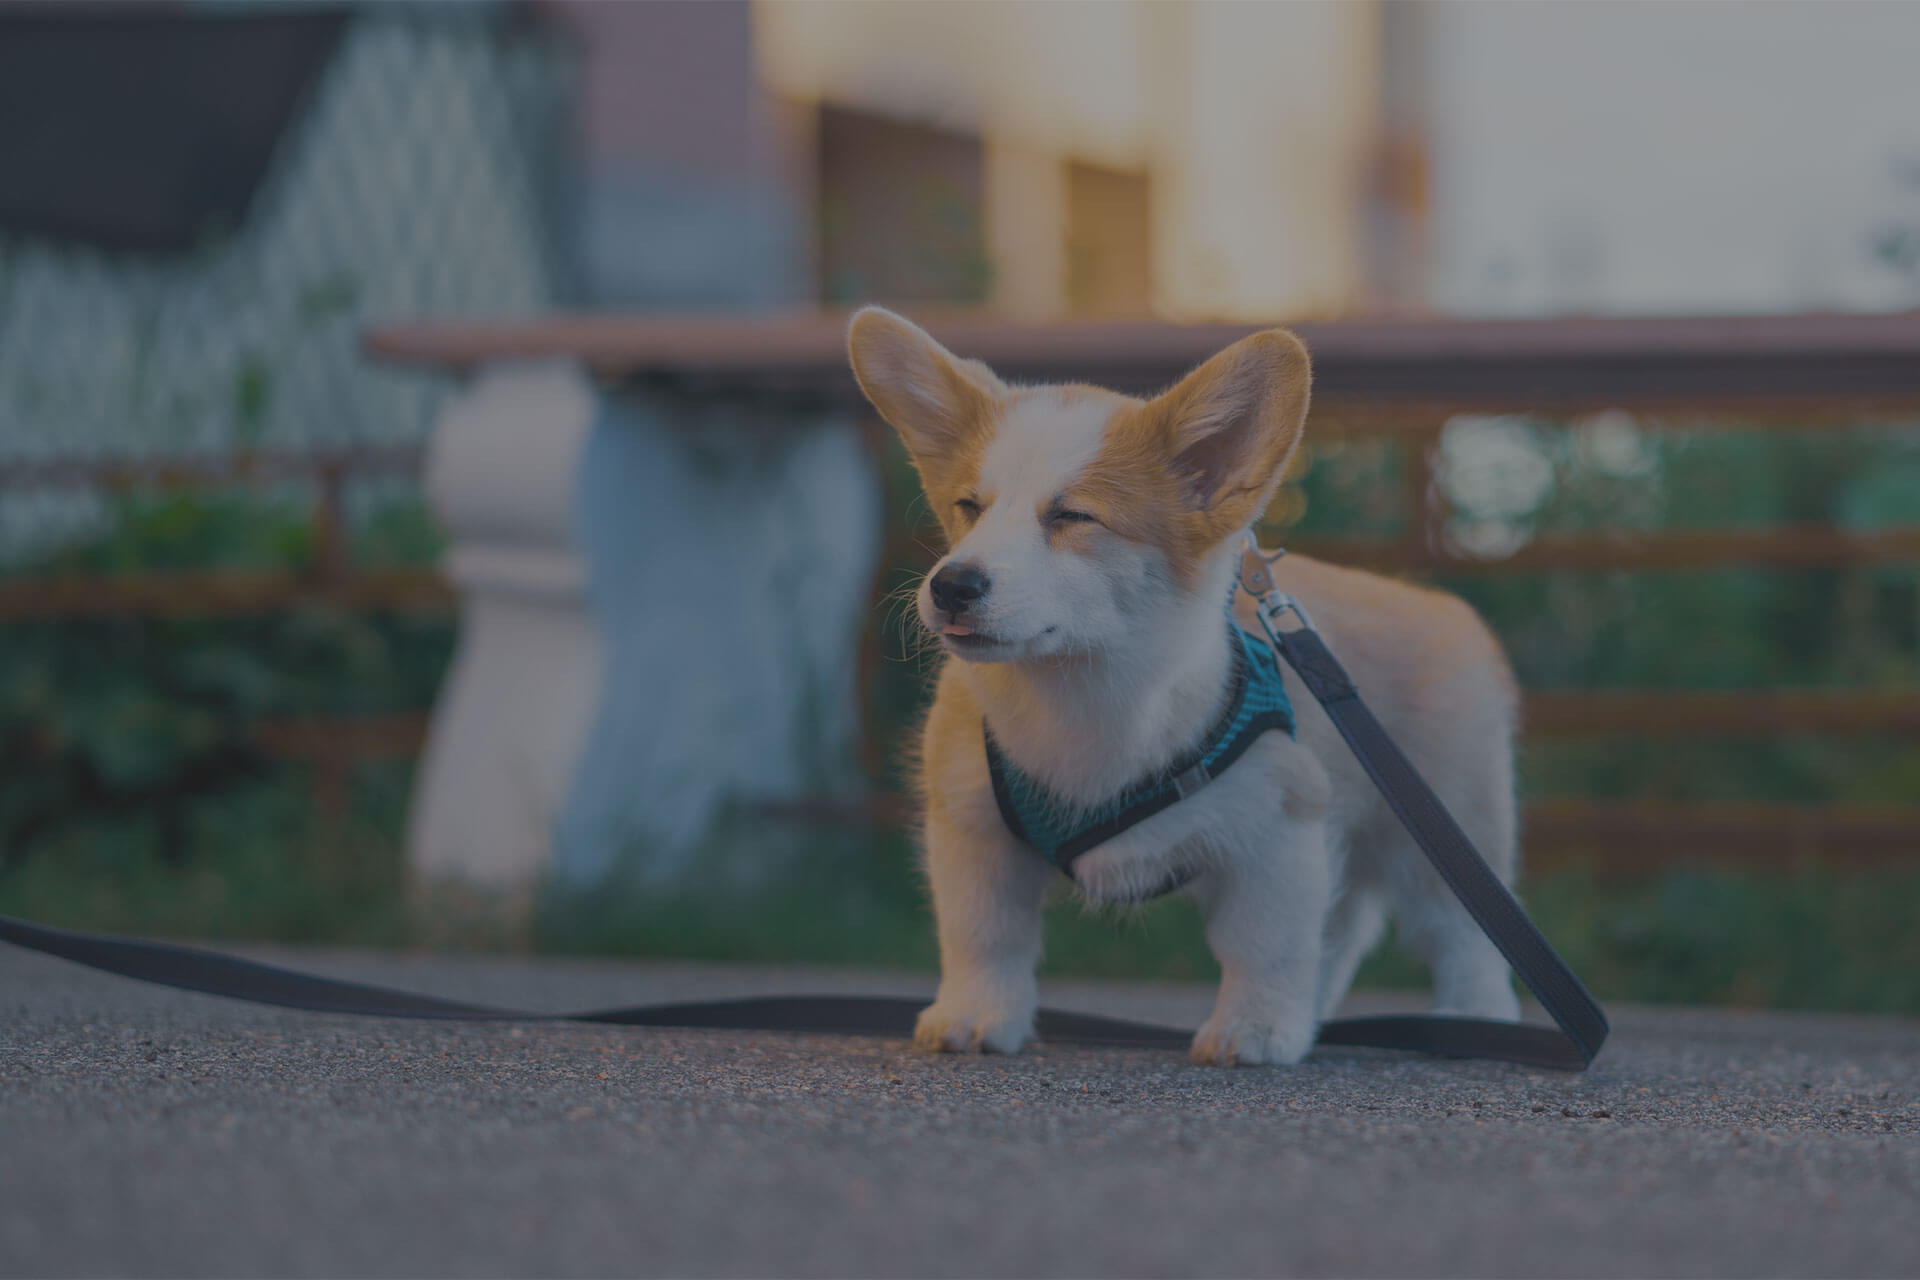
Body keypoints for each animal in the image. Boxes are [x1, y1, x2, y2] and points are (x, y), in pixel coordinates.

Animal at [848, 305, 1520, 1066]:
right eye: (968, 506)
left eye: (1071, 516)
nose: (951, 586)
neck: (1087, 691)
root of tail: (1446, 610)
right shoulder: (972, 829)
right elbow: (982, 935)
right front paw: (976, 1018)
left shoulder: (1279, 823)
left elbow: (1265, 945)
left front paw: (1254, 1029)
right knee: (1339, 930)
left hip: (1445, 833)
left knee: (1463, 938)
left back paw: (1476, 1021)